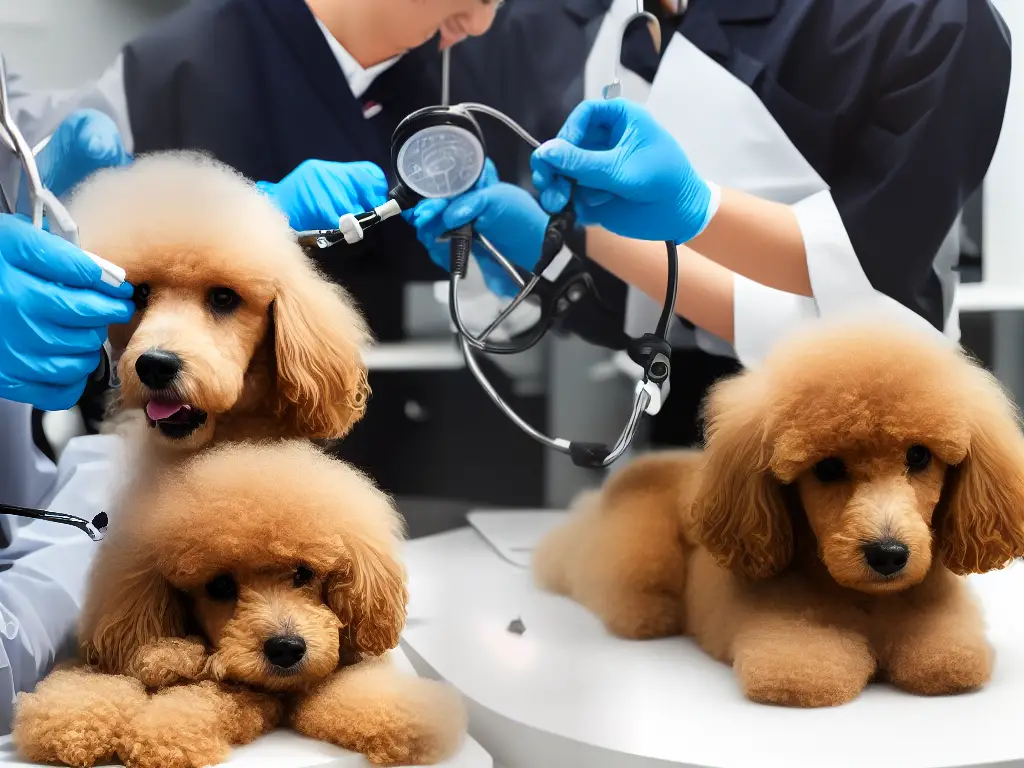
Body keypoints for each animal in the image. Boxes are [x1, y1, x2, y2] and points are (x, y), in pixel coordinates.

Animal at [532, 319, 1024, 708]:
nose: (888, 555)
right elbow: (806, 669)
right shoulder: (788, 636)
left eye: (919, 456)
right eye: (827, 468)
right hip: (638, 553)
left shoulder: (944, 620)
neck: (865, 598)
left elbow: (950, 658)